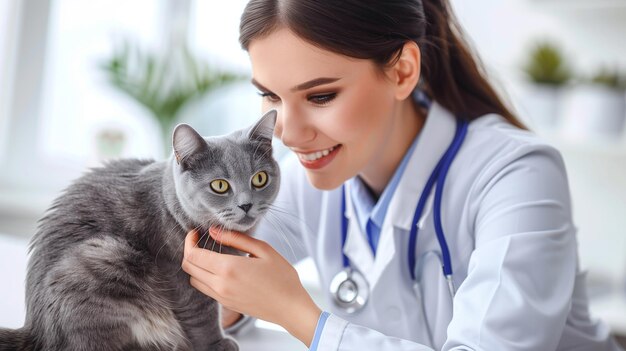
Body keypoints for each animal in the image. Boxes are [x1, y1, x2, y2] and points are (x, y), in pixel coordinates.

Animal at [0, 110, 278, 351]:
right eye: (219, 185)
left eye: (260, 179)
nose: (246, 205)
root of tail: (35, 331)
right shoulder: (179, 273)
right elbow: (202, 314)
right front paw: (216, 345)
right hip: (104, 257)